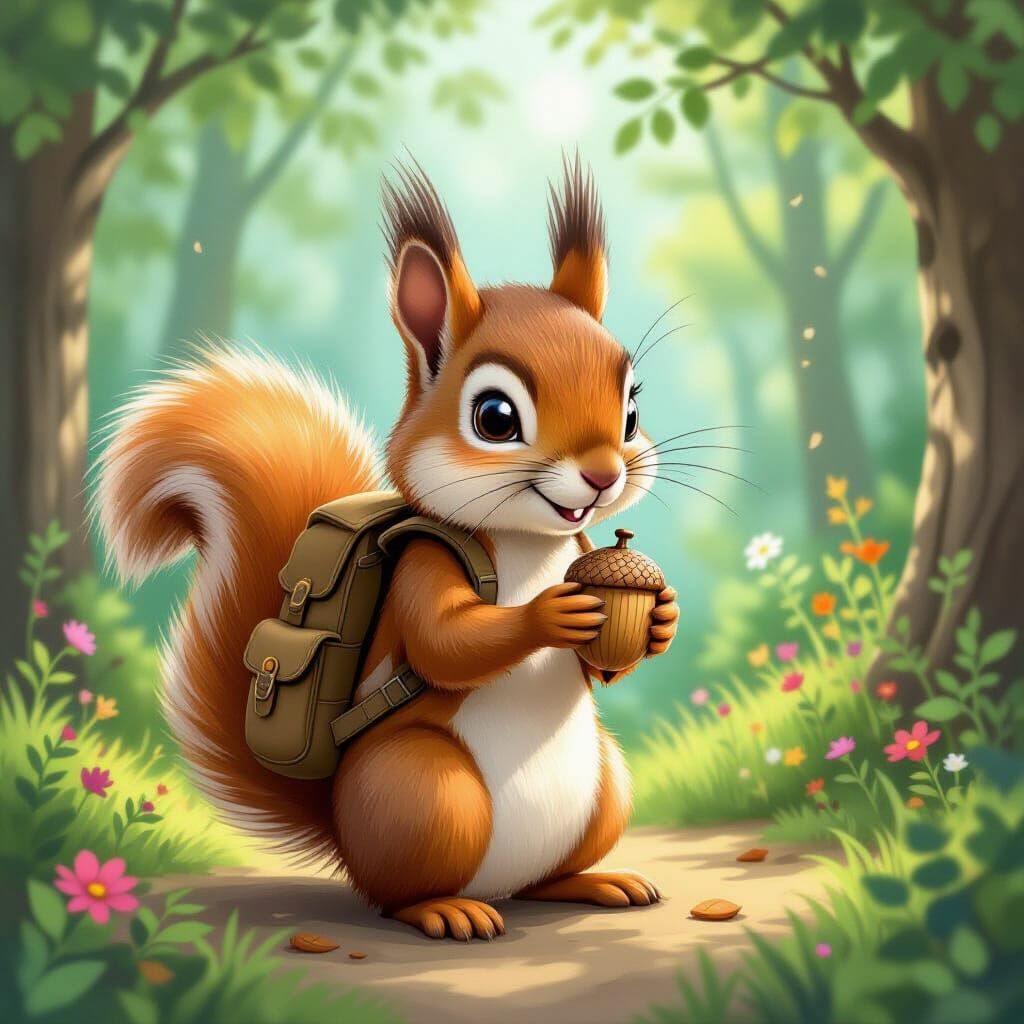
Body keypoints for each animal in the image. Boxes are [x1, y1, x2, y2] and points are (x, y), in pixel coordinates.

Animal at [97, 155, 679, 941]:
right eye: (495, 417)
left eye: (633, 410)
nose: (602, 474)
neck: (531, 542)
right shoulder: (423, 562)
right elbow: (443, 643)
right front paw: (550, 615)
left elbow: (601, 671)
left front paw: (659, 618)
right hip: (422, 790)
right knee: (398, 891)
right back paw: (445, 910)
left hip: (605, 784)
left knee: (545, 877)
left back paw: (593, 882)